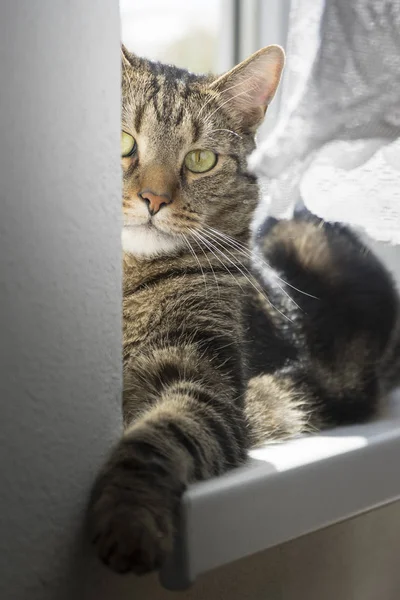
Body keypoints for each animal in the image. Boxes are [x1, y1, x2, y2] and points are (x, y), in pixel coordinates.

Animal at [90, 44, 400, 576]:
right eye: (125, 141)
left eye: (200, 159)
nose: (154, 198)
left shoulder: (209, 389)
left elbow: (155, 441)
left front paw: (129, 519)